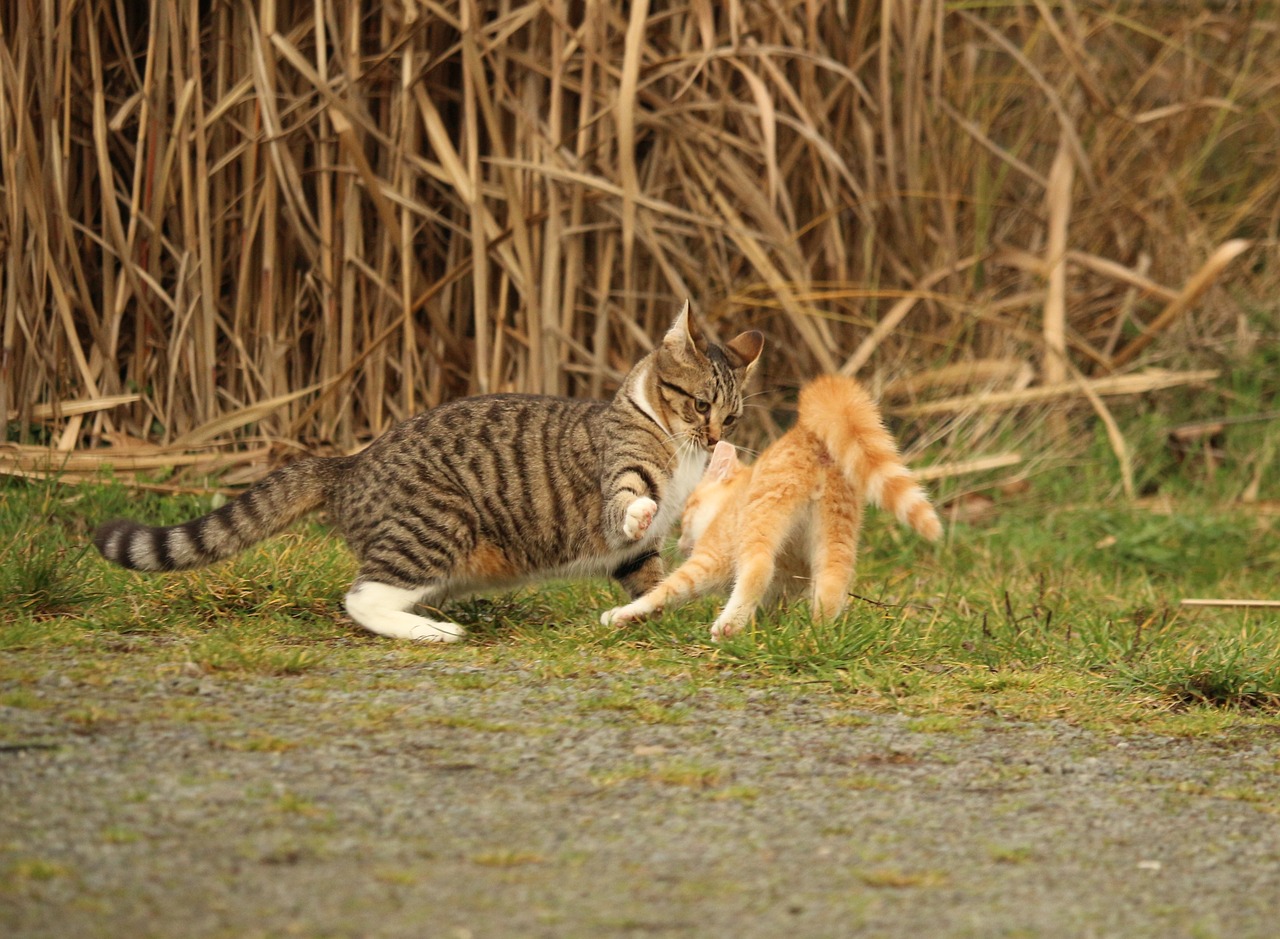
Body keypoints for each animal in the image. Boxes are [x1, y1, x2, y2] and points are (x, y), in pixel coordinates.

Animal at [97, 305, 768, 644]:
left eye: (732, 416)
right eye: (699, 405)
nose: (716, 439)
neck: (677, 451)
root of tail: (349, 463)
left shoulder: (634, 555)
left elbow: (650, 581)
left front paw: (651, 614)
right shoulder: (621, 476)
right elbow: (629, 500)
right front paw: (643, 510)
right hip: (436, 524)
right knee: (362, 598)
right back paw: (432, 633)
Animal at [599, 373, 942, 639]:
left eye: (687, 512)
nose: (681, 542)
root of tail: (810, 437)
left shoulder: (713, 555)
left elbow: (666, 590)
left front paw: (624, 614)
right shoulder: (788, 581)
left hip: (761, 518)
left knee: (758, 567)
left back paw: (728, 626)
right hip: (837, 531)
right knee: (833, 581)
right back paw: (816, 635)